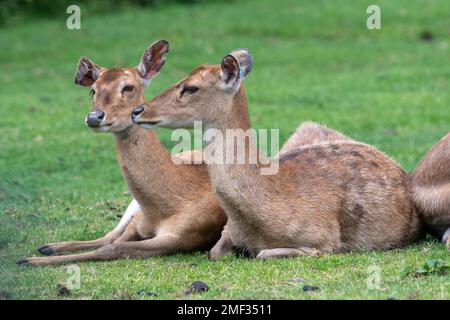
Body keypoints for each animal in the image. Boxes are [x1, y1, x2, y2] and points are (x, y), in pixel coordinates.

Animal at [16, 40, 229, 264]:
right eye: (93, 90)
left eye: (128, 87)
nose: (94, 117)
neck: (163, 210)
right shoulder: (137, 221)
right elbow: (111, 242)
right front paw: (32, 257)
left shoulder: (185, 235)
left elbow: (112, 248)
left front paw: (27, 260)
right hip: (131, 206)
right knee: (108, 235)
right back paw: (48, 246)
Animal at [132, 48, 424, 260]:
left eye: (190, 87)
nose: (138, 110)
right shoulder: (228, 230)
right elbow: (215, 252)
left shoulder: (324, 239)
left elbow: (263, 254)